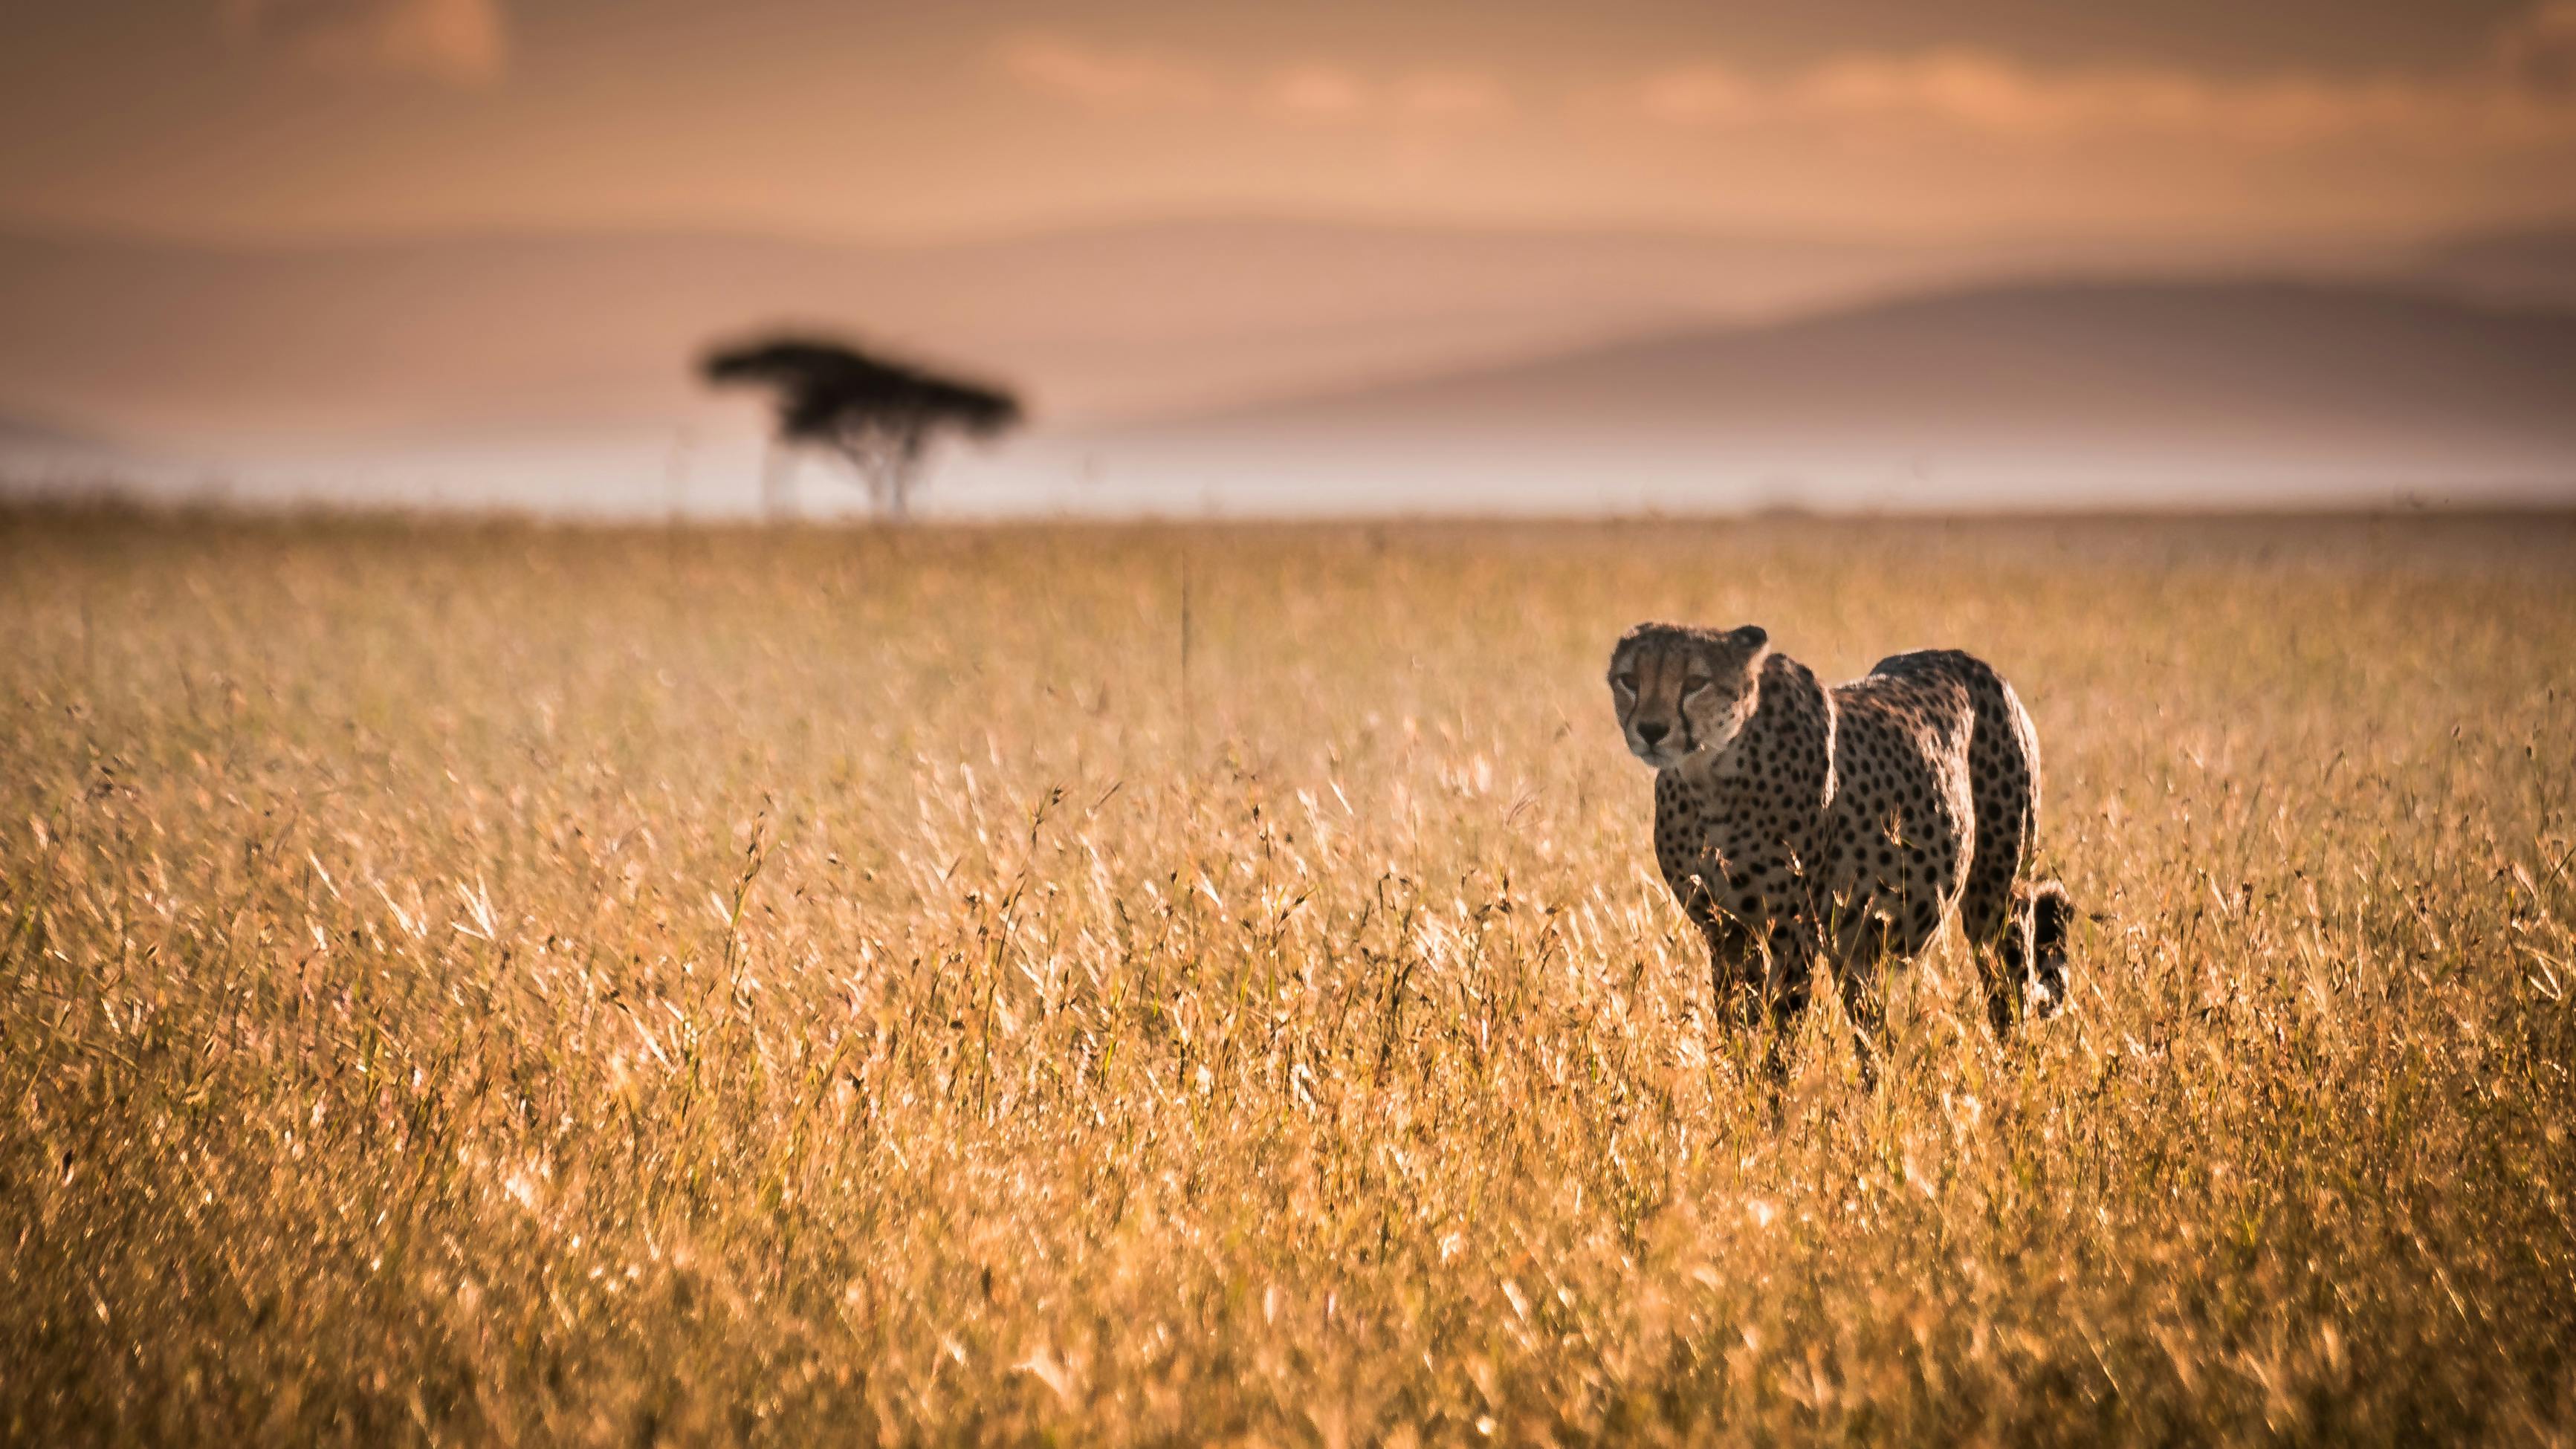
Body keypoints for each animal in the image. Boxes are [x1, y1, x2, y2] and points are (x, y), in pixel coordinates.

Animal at [1608, 622, 2074, 1069]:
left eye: (1696, 682)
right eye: (1629, 680)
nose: (1651, 730)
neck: (1710, 777)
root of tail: (1965, 659)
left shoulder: (1793, 934)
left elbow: (1780, 1039)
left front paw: (1771, 1094)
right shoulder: (1725, 932)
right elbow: (1738, 1028)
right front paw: (1737, 1089)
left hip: (1992, 902)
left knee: (2008, 995)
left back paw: (2011, 1073)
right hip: (1860, 946)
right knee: (1877, 1036)